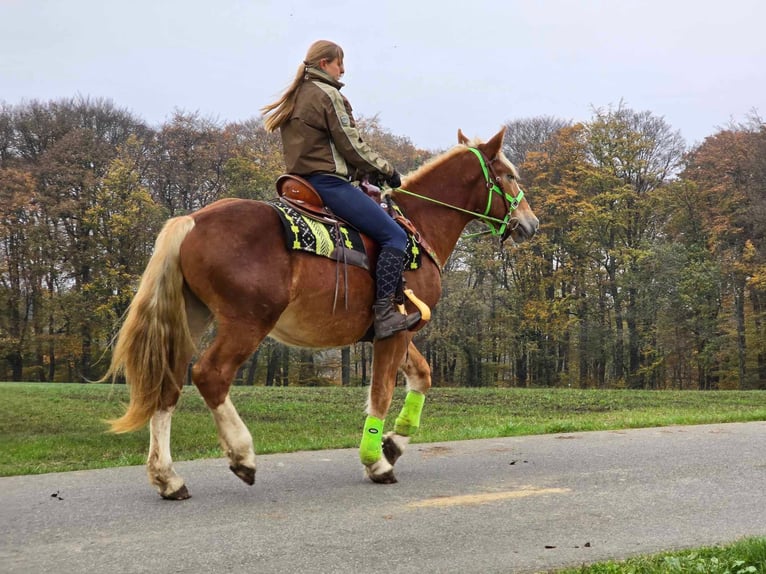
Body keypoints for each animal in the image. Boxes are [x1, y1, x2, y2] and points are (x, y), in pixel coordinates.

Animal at [105, 125, 540, 500]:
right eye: (508, 175)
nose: (530, 222)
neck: (416, 225)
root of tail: (193, 220)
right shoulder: (395, 331)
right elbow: (381, 393)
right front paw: (376, 461)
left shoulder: (395, 330)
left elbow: (422, 376)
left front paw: (394, 442)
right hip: (247, 322)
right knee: (211, 375)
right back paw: (241, 454)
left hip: (191, 321)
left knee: (169, 384)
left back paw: (168, 477)